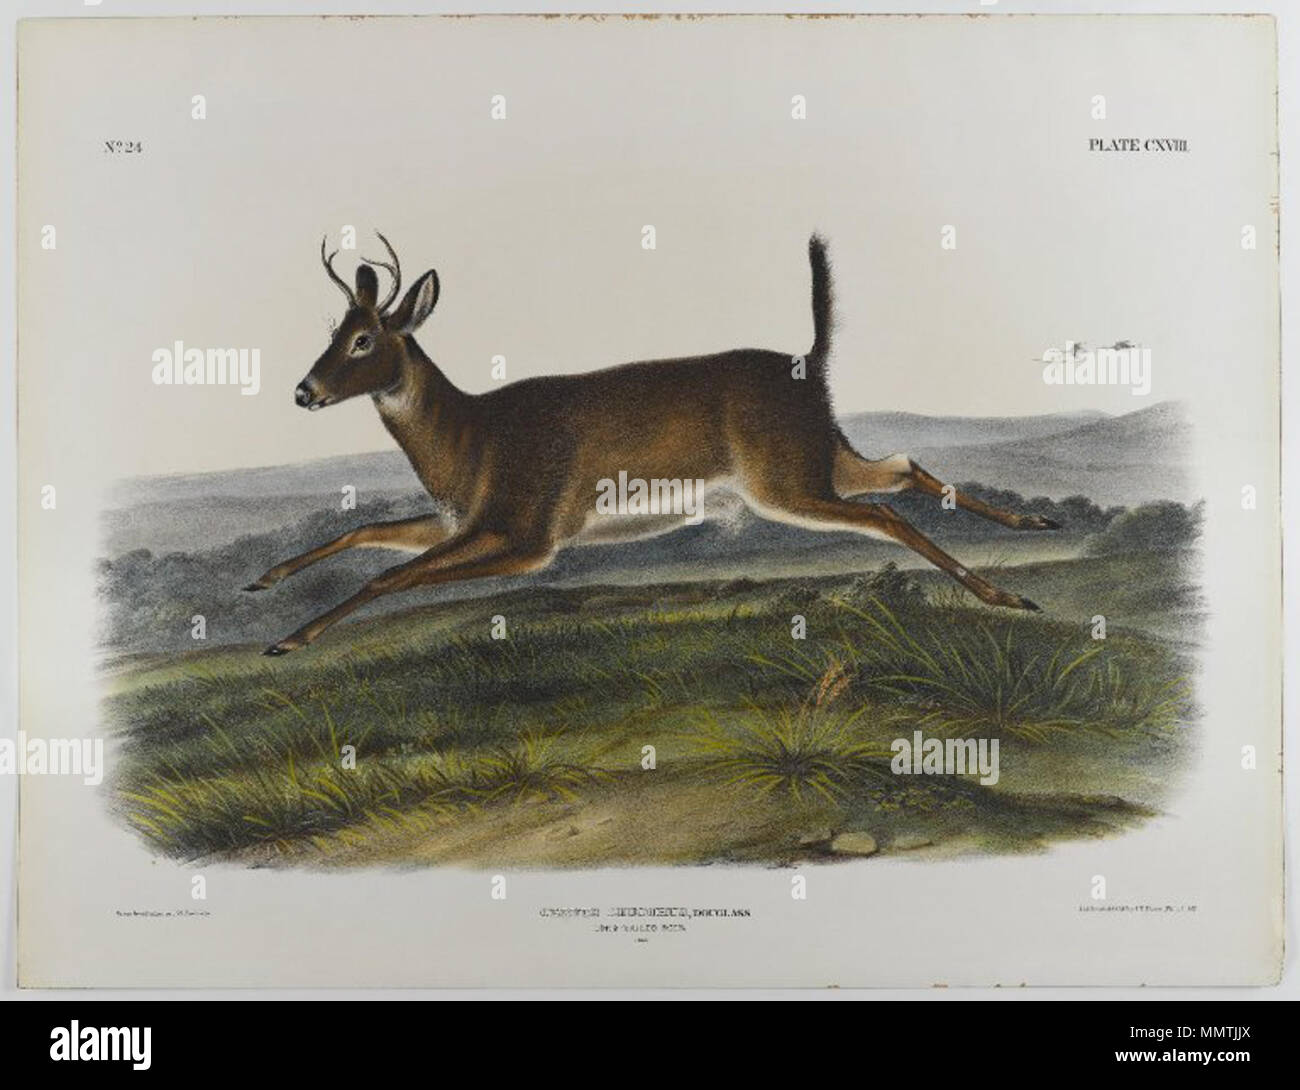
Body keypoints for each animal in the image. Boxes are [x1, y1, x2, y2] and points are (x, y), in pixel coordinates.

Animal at [245, 232, 1059, 655]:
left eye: (362, 340)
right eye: (332, 331)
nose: (303, 391)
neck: (468, 439)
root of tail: (811, 361)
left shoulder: (529, 535)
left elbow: (392, 576)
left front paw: (289, 639)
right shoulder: (463, 523)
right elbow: (365, 532)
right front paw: (264, 582)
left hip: (785, 482)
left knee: (886, 511)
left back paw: (1008, 592)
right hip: (823, 460)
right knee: (903, 466)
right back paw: (1033, 526)